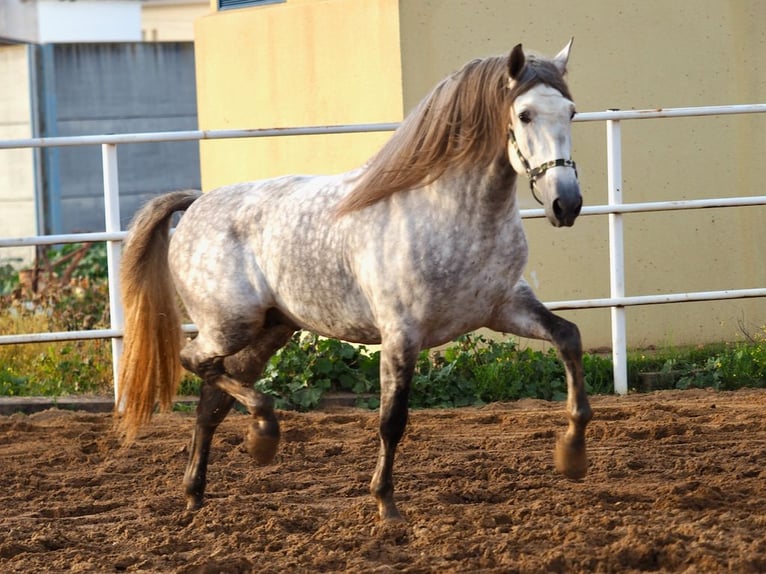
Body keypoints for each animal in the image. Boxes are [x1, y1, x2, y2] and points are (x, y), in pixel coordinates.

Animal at [117, 42, 592, 524]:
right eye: (525, 115)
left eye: (571, 112)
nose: (566, 203)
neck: (452, 212)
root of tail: (195, 204)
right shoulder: (401, 334)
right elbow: (392, 420)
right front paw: (386, 505)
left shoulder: (504, 307)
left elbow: (568, 337)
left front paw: (572, 455)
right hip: (231, 325)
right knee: (193, 361)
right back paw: (263, 432)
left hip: (271, 329)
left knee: (211, 401)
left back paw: (200, 491)